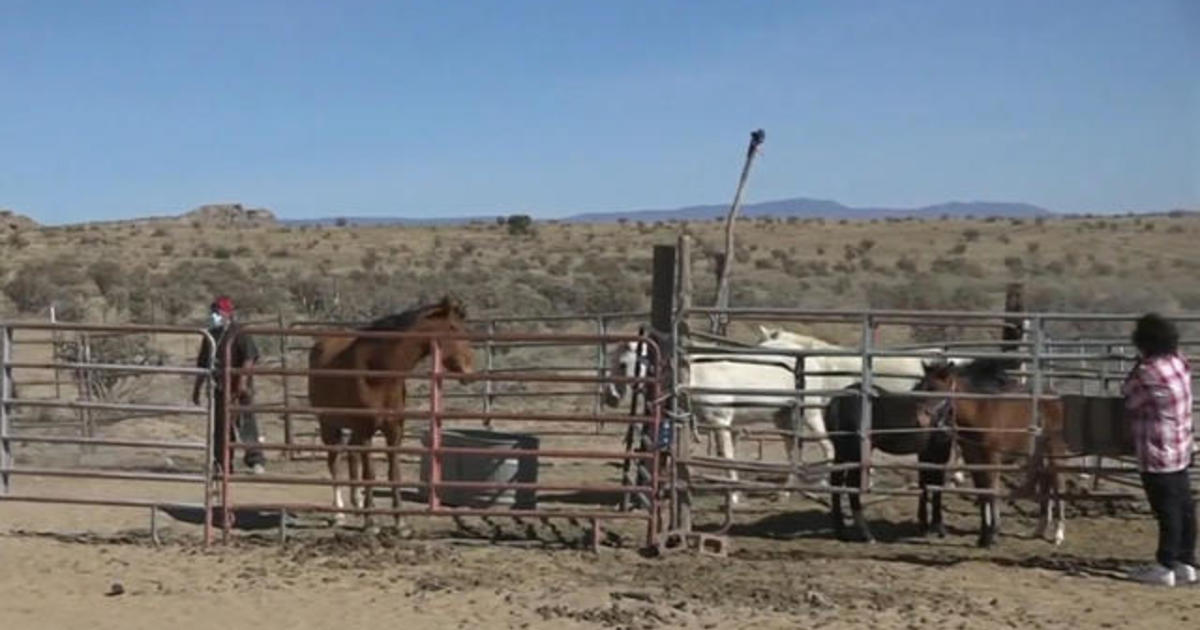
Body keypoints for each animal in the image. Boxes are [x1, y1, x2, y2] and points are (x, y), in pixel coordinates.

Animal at [307, 297, 475, 528]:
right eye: (453, 328)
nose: (469, 373)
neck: (378, 371)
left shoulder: (394, 431)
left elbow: (394, 474)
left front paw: (400, 523)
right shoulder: (366, 431)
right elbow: (370, 474)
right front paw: (371, 523)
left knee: (351, 455)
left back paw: (357, 503)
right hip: (328, 424)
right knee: (335, 461)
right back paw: (339, 513)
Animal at [916, 357, 1070, 544]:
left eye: (935, 389)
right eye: (920, 387)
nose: (920, 420)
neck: (979, 415)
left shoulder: (992, 460)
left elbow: (992, 491)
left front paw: (993, 533)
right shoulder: (973, 460)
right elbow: (982, 493)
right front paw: (984, 535)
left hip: (1056, 452)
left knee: (1059, 486)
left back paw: (1059, 534)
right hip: (1038, 455)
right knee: (1046, 482)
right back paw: (1039, 530)